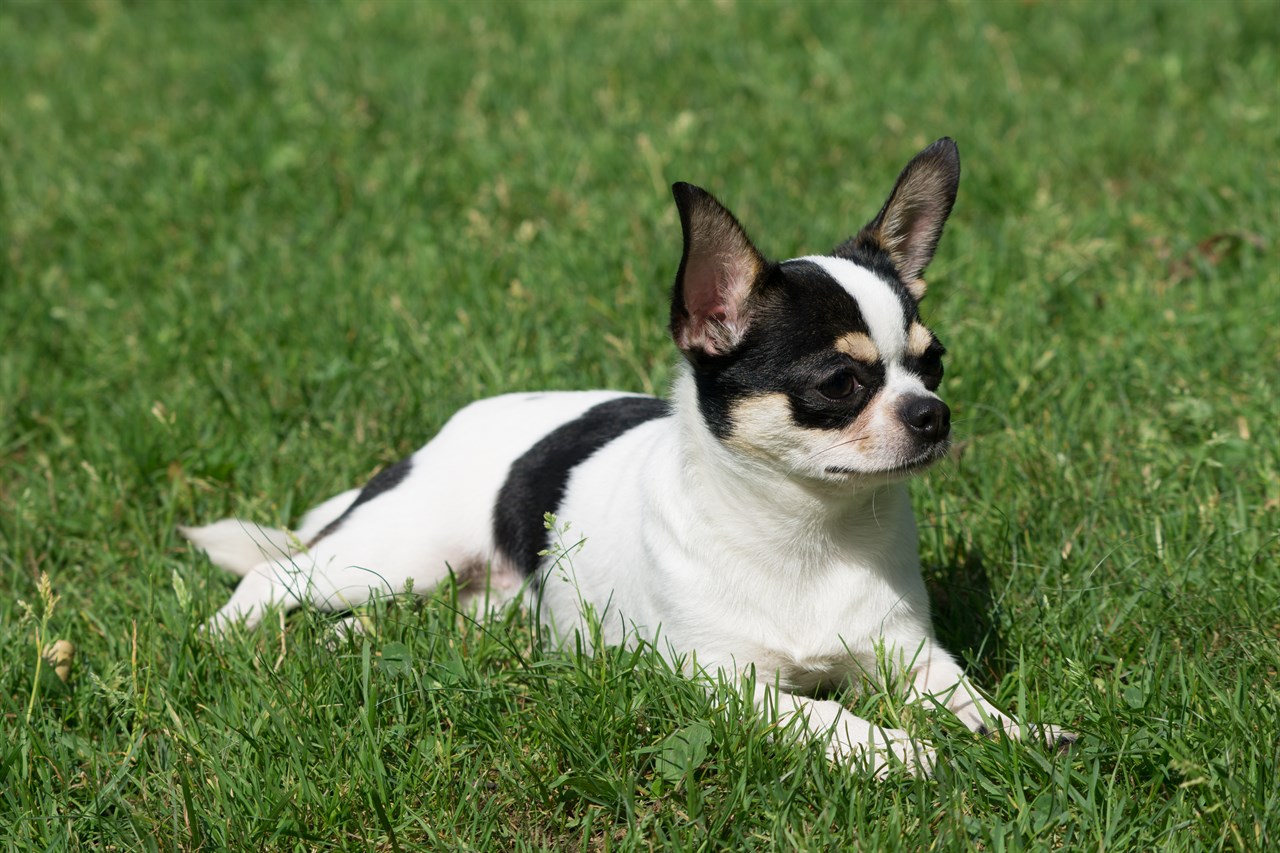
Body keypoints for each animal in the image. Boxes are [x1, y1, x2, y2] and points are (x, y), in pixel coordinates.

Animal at [185, 137, 1075, 768]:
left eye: (934, 364)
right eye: (838, 383)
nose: (934, 414)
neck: (809, 535)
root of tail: (443, 432)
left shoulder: (909, 656)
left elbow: (966, 697)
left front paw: (1019, 732)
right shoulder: (723, 677)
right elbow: (818, 711)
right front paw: (891, 747)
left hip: (468, 594)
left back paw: (347, 641)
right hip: (397, 551)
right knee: (277, 575)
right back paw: (222, 638)